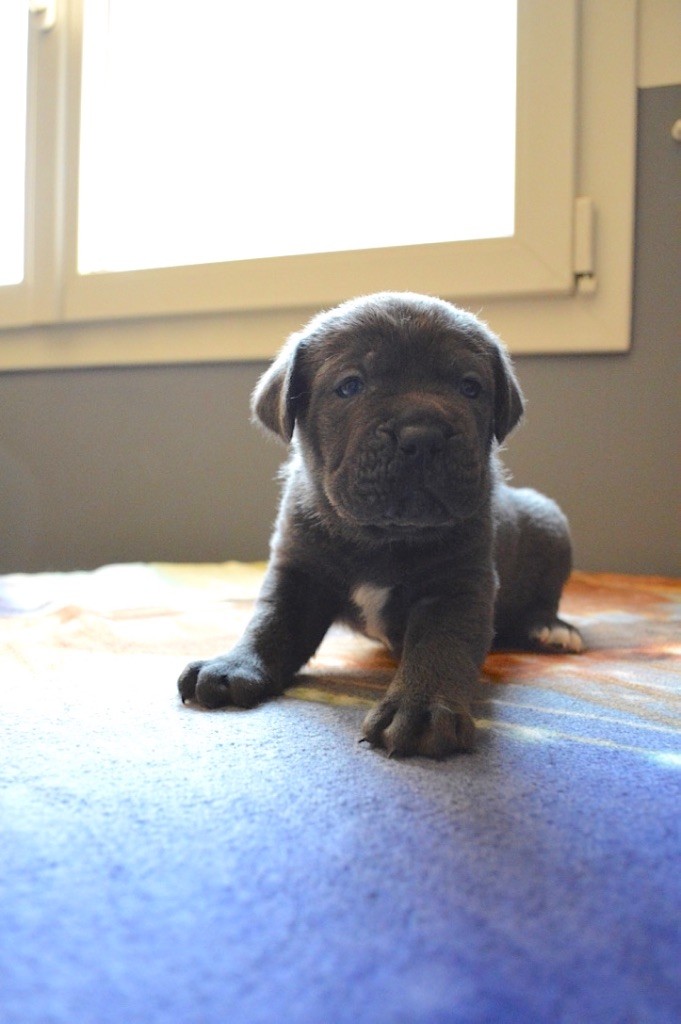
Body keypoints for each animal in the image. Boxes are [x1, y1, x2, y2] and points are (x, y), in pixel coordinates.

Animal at [178, 292, 581, 757]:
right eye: (350, 386)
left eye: (470, 387)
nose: (423, 434)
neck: (384, 536)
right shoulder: (299, 573)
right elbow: (271, 622)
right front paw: (233, 665)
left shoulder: (457, 587)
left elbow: (441, 646)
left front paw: (422, 707)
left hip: (551, 527)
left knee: (544, 599)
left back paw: (550, 629)